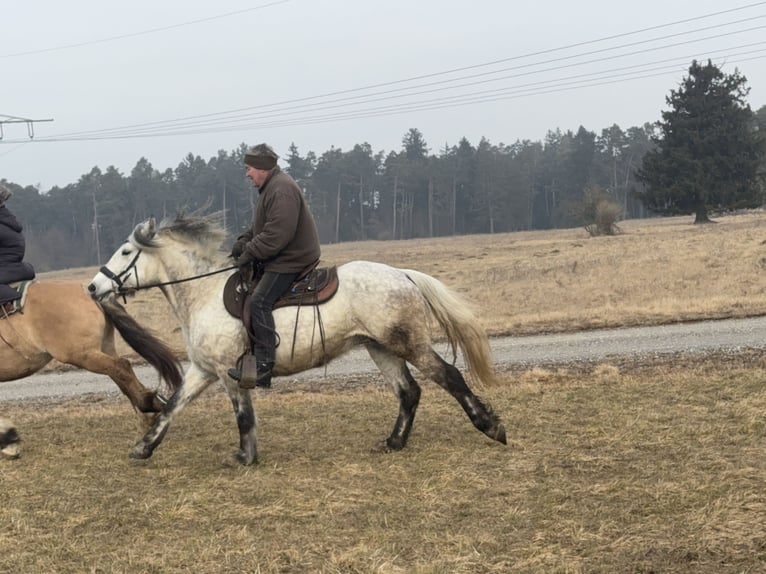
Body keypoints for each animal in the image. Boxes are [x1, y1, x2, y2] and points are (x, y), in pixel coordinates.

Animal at [0, 281, 183, 429]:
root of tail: (90, 295)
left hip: (83, 355)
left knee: (120, 367)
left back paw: (147, 404)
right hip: (103, 348)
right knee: (120, 372)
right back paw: (148, 410)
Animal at [87, 212, 507, 466]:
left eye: (126, 250)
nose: (93, 287)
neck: (203, 293)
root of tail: (403, 274)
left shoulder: (227, 373)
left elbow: (243, 416)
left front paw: (245, 457)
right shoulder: (202, 370)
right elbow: (172, 406)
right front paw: (143, 447)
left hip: (408, 344)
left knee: (449, 376)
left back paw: (491, 427)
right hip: (380, 348)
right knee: (409, 392)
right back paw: (394, 442)